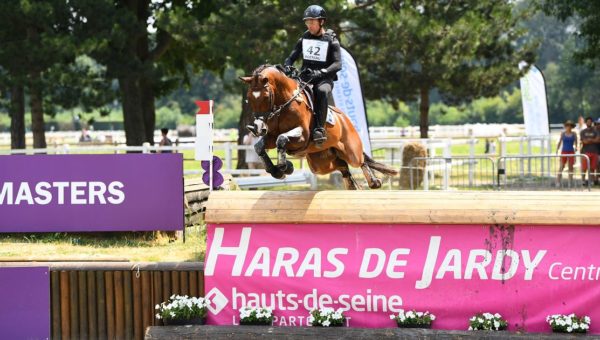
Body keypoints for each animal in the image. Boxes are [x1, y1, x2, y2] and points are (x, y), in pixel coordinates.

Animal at [239, 65, 398, 190]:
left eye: (266, 97)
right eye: (249, 98)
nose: (257, 127)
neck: (284, 103)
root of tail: (346, 119)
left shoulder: (302, 136)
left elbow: (282, 139)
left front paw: (285, 166)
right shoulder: (270, 136)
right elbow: (259, 146)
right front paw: (277, 170)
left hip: (351, 151)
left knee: (361, 160)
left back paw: (374, 182)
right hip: (321, 164)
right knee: (342, 166)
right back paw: (352, 186)